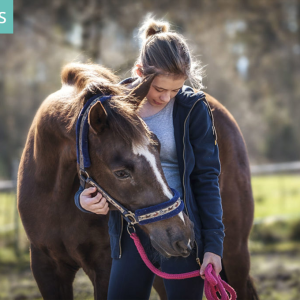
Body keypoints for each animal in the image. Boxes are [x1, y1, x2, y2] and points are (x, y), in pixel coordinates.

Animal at [17, 62, 258, 298]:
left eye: (158, 149)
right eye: (121, 173)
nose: (184, 235)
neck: (56, 200)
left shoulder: (104, 266)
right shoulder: (45, 267)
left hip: (234, 252)